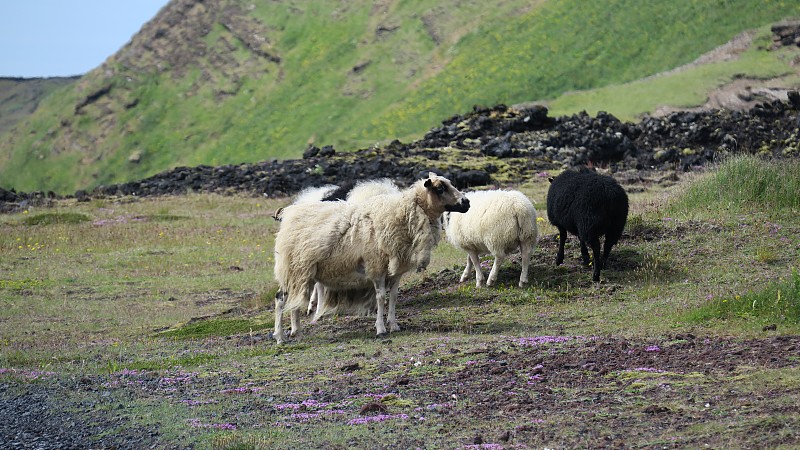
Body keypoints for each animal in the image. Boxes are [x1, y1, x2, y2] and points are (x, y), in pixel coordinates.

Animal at [272, 171, 468, 342]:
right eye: (440, 188)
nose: (466, 202)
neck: (400, 214)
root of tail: (289, 216)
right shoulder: (376, 265)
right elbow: (381, 297)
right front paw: (380, 328)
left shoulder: (396, 270)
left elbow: (394, 296)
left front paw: (394, 325)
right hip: (293, 268)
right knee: (280, 299)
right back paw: (280, 337)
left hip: (302, 272)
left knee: (295, 301)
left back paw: (296, 332)